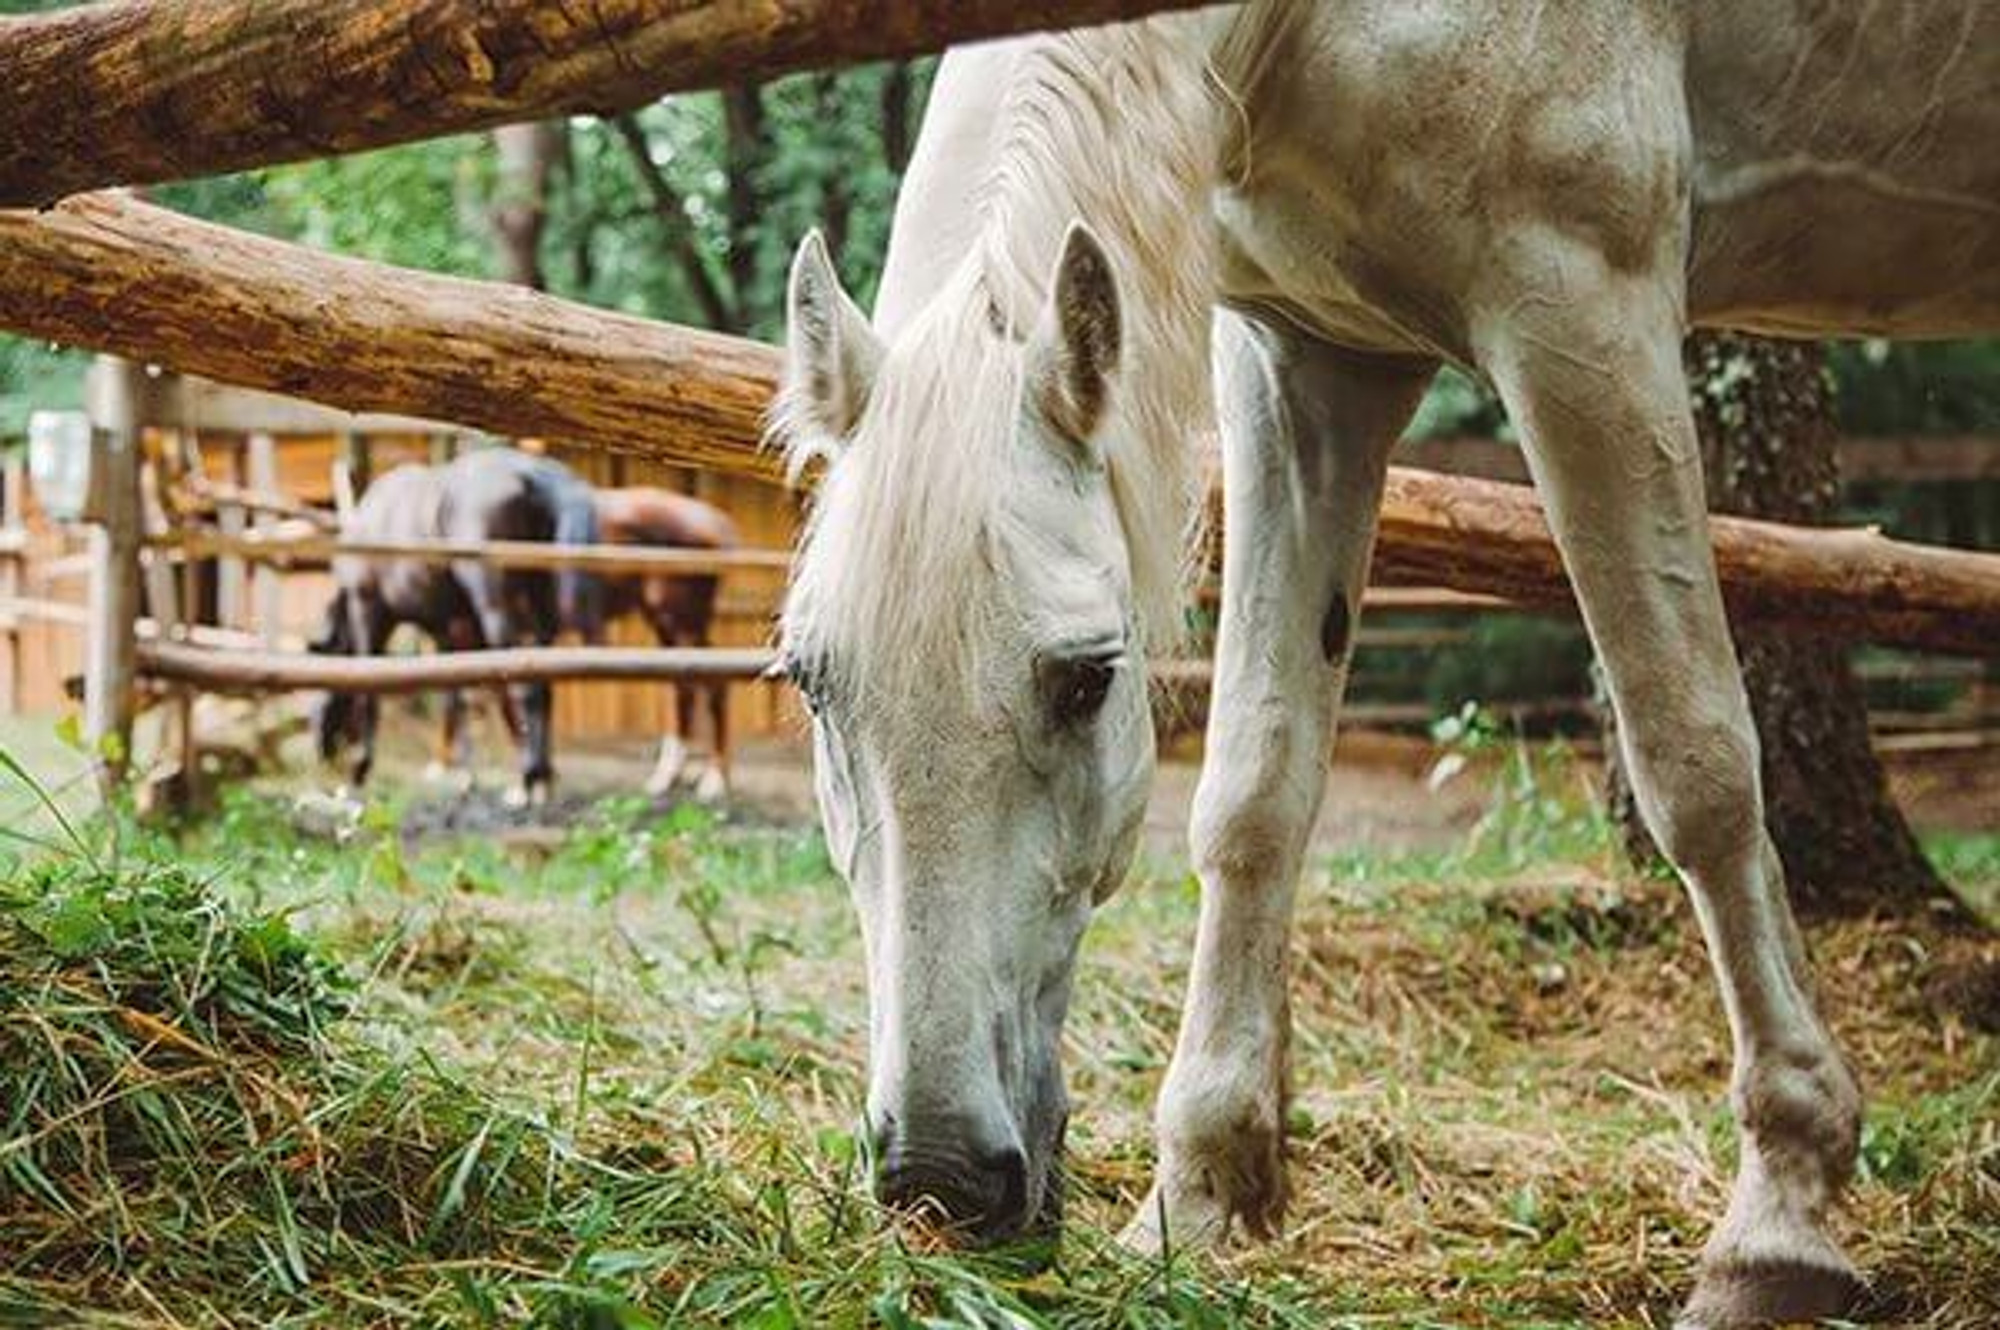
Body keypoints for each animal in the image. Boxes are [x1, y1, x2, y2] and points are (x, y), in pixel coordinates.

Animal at [768, 5, 2000, 1320]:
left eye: (1087, 676)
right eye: (812, 683)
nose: (939, 1175)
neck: (1296, 32)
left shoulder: (1585, 316)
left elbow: (1696, 764)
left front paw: (1775, 1223)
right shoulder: (1305, 365)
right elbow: (1253, 790)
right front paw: (1200, 1190)